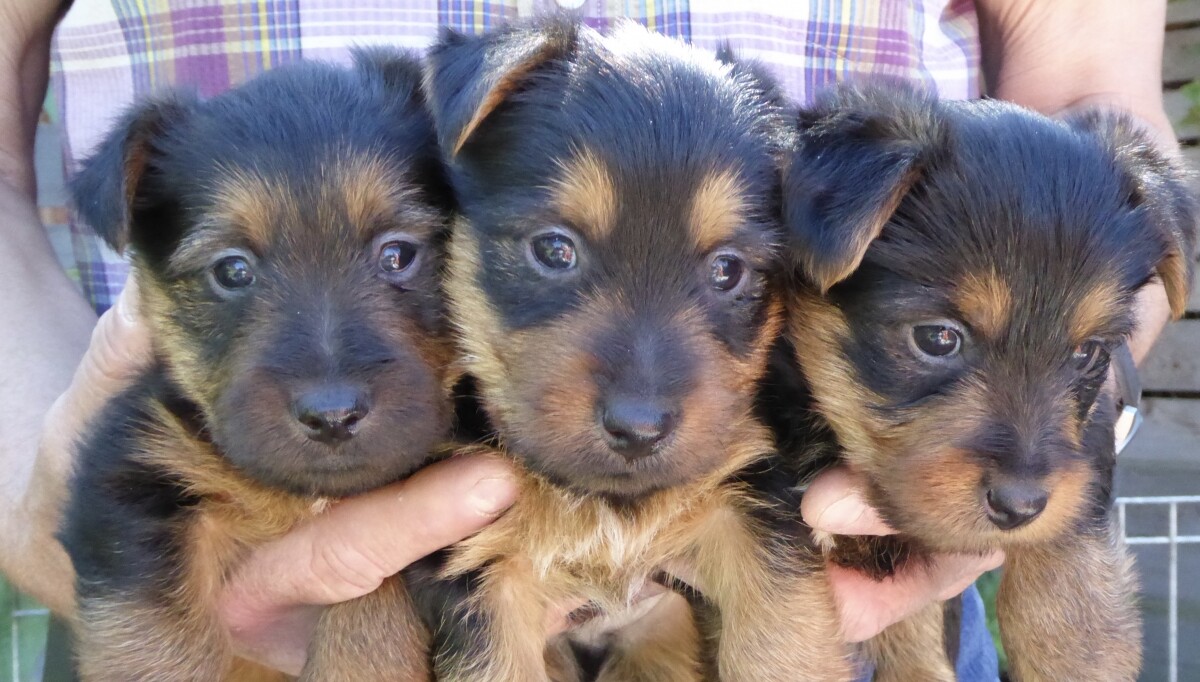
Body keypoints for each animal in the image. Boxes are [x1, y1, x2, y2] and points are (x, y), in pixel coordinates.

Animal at [60, 50, 454, 681]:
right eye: (233, 270)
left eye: (398, 254)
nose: (332, 415)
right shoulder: (129, 475)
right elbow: (153, 640)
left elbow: (372, 610)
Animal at [402, 18, 852, 682]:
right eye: (554, 248)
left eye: (728, 270)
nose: (639, 429)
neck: (602, 500)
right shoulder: (480, 572)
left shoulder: (751, 496)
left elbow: (781, 643)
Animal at [775, 81, 1197, 681]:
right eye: (938, 338)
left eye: (1088, 352)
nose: (1020, 505)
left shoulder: (1083, 458)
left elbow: (1069, 585)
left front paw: (1071, 649)